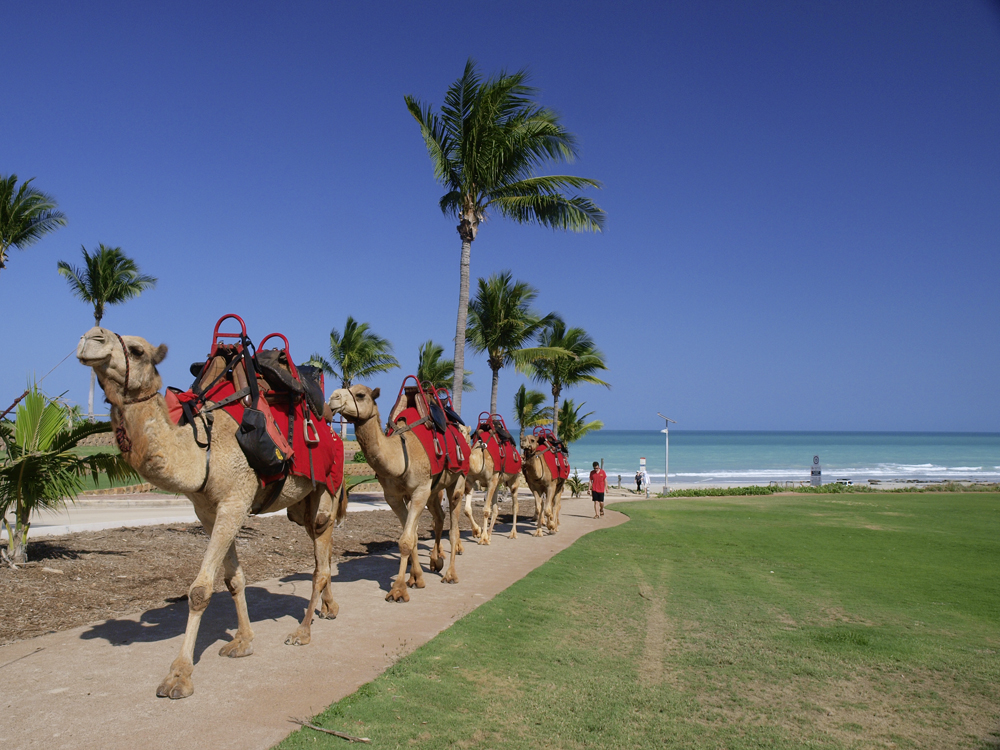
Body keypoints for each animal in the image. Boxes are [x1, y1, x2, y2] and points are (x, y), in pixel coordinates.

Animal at [76, 326, 342, 704]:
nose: (91, 337)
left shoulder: (235, 500)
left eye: (138, 350)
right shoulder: (207, 511)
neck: (202, 448)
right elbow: (233, 579)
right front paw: (243, 642)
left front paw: (178, 676)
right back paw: (329, 608)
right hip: (300, 503)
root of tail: (331, 426)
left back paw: (302, 631)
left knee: (320, 554)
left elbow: (201, 590)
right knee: (321, 545)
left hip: (326, 488)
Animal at [330, 388, 466, 604]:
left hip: (457, 479)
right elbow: (412, 537)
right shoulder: (393, 496)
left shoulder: (419, 491)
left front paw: (398, 590)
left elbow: (406, 541)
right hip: (433, 490)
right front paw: (416, 578)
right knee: (439, 516)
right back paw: (436, 561)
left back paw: (451, 575)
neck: (400, 455)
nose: (332, 397)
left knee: (453, 525)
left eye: (360, 395)